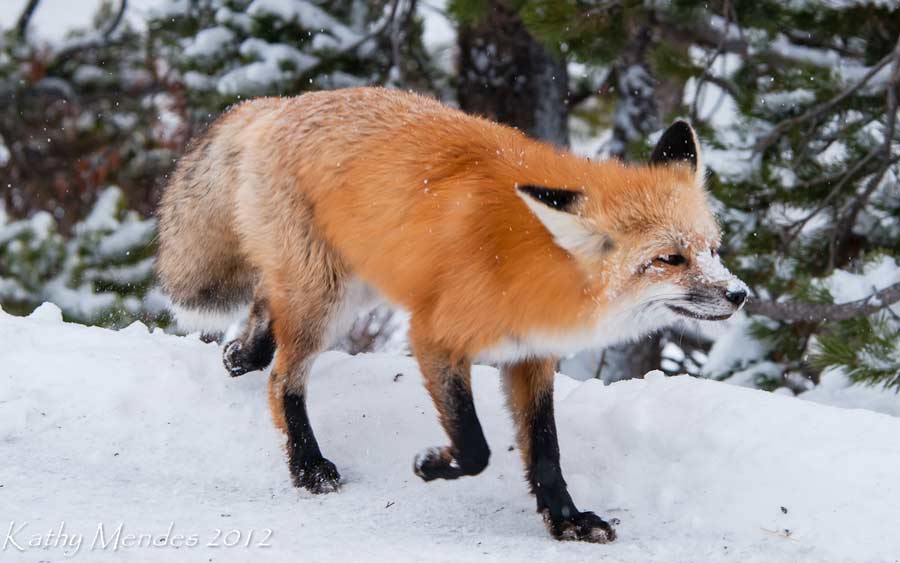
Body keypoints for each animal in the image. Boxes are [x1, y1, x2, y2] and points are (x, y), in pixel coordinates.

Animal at [155, 89, 744, 548]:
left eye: (712, 249)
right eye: (669, 259)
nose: (739, 294)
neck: (528, 258)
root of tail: (279, 104)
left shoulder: (531, 354)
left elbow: (546, 450)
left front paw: (567, 521)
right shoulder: (433, 335)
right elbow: (476, 446)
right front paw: (433, 465)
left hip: (348, 284)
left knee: (264, 302)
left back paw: (242, 354)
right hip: (327, 298)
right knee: (283, 381)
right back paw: (306, 464)